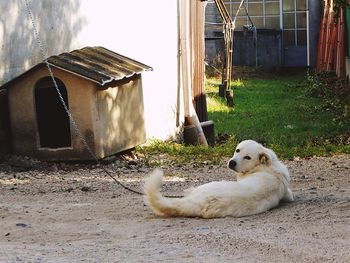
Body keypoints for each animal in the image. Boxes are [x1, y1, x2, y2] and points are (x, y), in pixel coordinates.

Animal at [142, 140, 292, 219]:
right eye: (237, 150)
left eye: (247, 157)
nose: (232, 162)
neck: (266, 166)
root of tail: (198, 203)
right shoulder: (288, 194)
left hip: (206, 186)